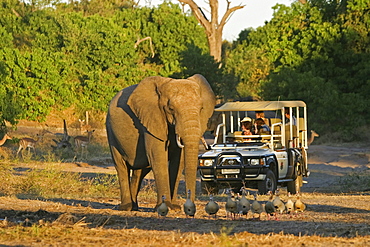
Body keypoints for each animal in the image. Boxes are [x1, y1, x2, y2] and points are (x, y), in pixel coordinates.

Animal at [106, 73, 217, 210]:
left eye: (201, 108)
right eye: (171, 108)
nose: (189, 208)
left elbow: (179, 160)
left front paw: (174, 207)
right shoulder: (152, 119)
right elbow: (158, 155)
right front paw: (165, 207)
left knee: (140, 170)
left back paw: (134, 207)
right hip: (111, 132)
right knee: (121, 166)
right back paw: (126, 208)